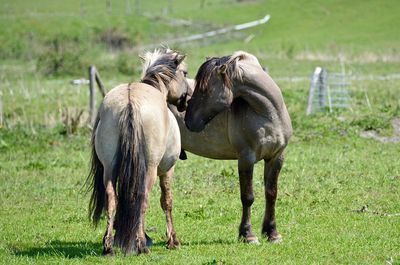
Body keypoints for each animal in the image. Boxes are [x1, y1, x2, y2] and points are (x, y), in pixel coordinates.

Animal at [86, 48, 188, 255]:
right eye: (185, 72)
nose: (187, 98)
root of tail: (130, 102)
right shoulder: (167, 170)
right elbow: (167, 201)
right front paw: (172, 240)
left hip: (109, 170)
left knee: (112, 199)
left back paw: (109, 245)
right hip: (150, 170)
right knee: (143, 199)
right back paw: (141, 245)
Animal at [183, 51, 292, 243]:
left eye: (205, 89)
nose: (189, 121)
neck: (269, 115)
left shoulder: (276, 157)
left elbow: (271, 194)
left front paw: (272, 233)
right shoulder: (246, 158)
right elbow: (247, 197)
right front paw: (247, 234)